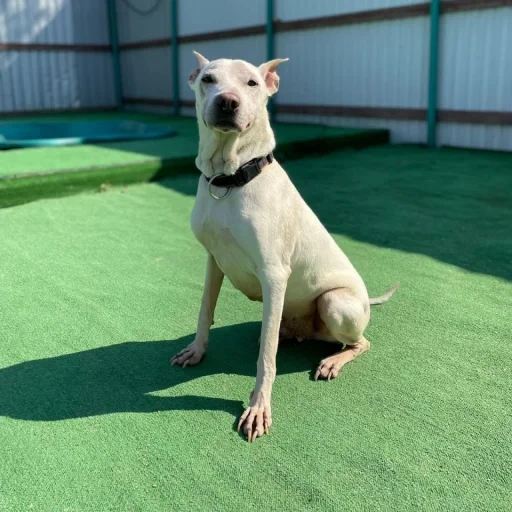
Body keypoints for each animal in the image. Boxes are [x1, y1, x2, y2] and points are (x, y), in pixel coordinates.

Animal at [170, 54, 398, 442]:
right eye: (207, 79)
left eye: (252, 83)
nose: (227, 102)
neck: (230, 179)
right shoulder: (214, 261)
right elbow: (205, 311)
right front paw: (197, 350)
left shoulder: (275, 275)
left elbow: (266, 361)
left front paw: (258, 407)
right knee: (277, 332)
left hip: (335, 303)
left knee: (359, 342)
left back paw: (332, 360)